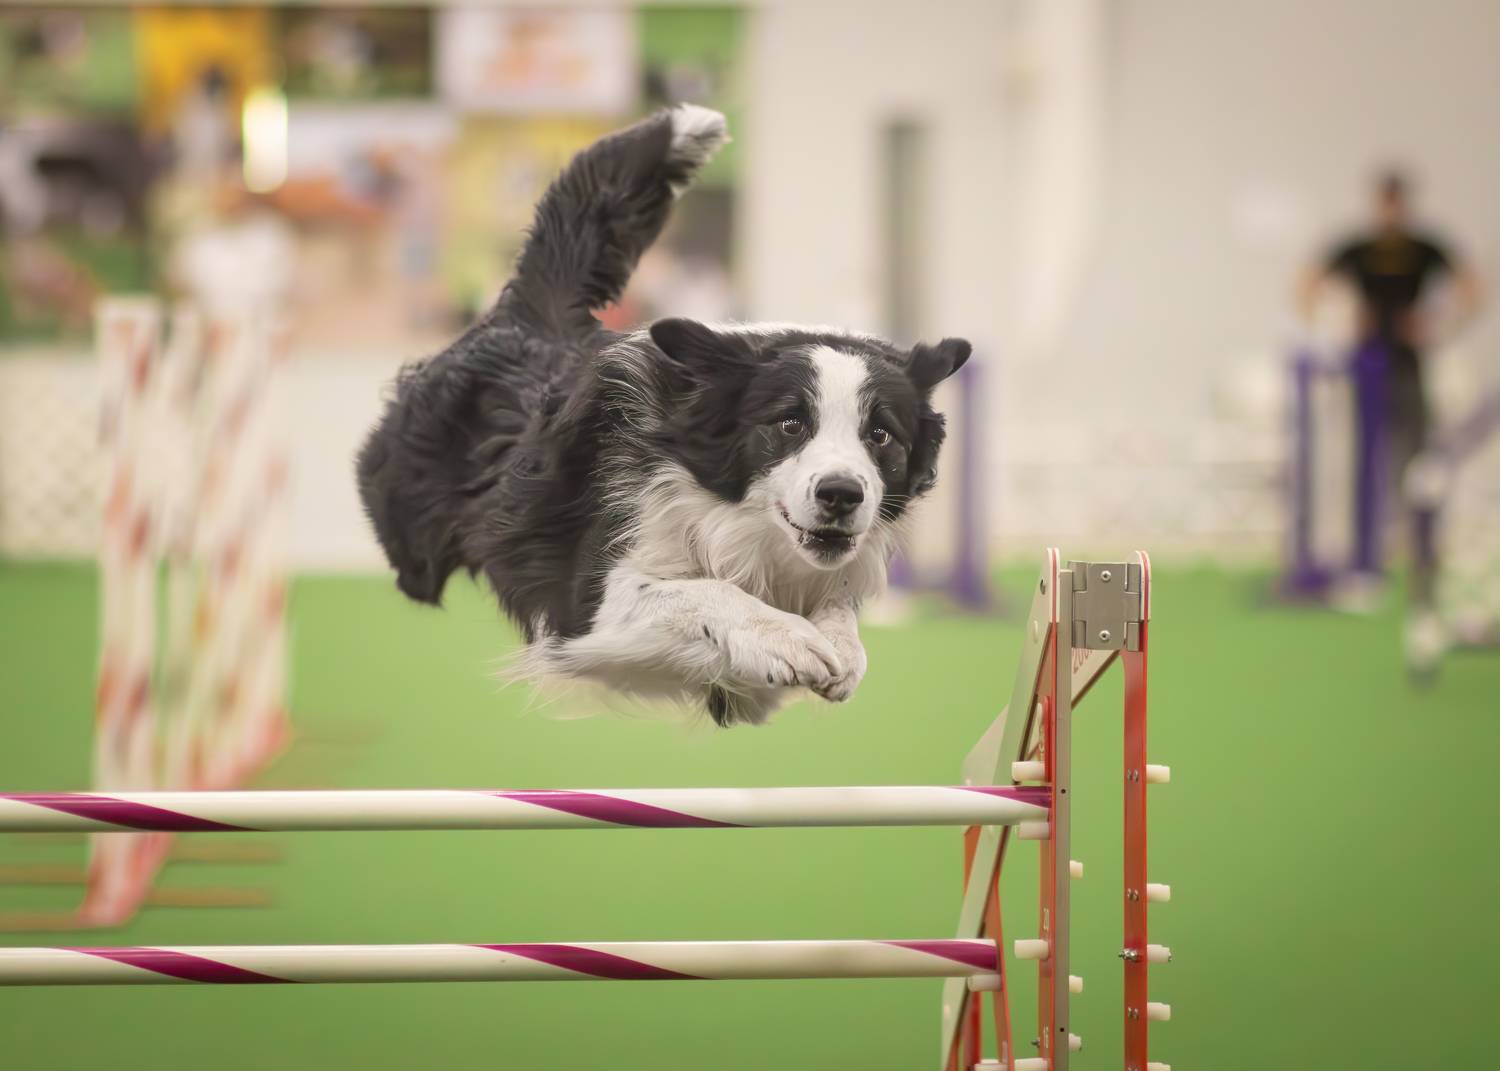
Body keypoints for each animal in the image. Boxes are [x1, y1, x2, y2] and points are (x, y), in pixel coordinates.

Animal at [357, 105, 970, 726]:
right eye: (789, 423)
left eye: (881, 435)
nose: (842, 494)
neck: (738, 524)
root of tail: (535, 318)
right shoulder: (589, 607)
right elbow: (699, 590)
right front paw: (790, 639)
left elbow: (837, 605)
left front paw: (840, 646)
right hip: (412, 508)